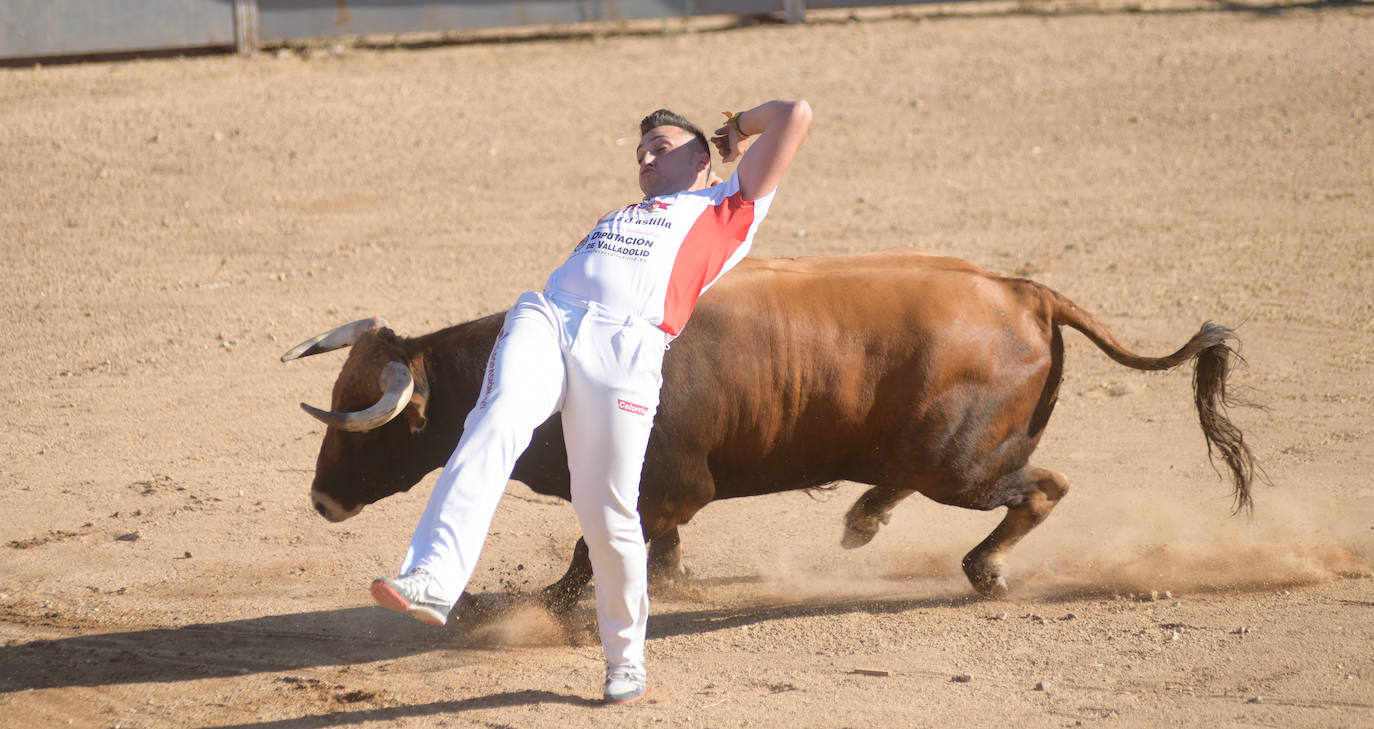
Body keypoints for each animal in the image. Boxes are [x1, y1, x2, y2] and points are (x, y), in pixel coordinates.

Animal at [281, 248, 1258, 606]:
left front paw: (551, 605)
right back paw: (864, 518)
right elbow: (644, 549)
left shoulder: (661, 485)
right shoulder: (660, 495)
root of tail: (1023, 289)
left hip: (964, 463)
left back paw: (983, 570)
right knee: (919, 477)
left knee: (1042, 488)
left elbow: (594, 550)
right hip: (938, 453)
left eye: (364, 429)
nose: (322, 499)